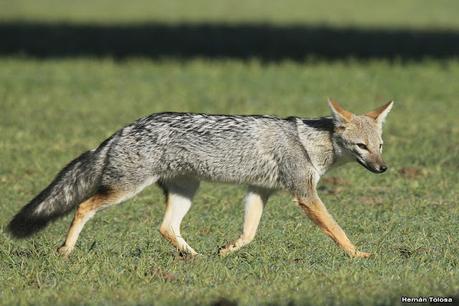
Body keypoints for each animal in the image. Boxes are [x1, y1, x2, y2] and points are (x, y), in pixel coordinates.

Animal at [7, 100, 394, 258]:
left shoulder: (259, 191)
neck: (311, 143)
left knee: (166, 227)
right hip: (124, 190)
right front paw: (357, 254)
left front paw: (227, 250)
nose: (383, 169)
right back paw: (66, 250)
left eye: (379, 146)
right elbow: (337, 229)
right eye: (361, 147)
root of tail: (124, 129)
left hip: (186, 192)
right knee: (84, 207)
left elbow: (249, 233)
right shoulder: (305, 195)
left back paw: (195, 257)